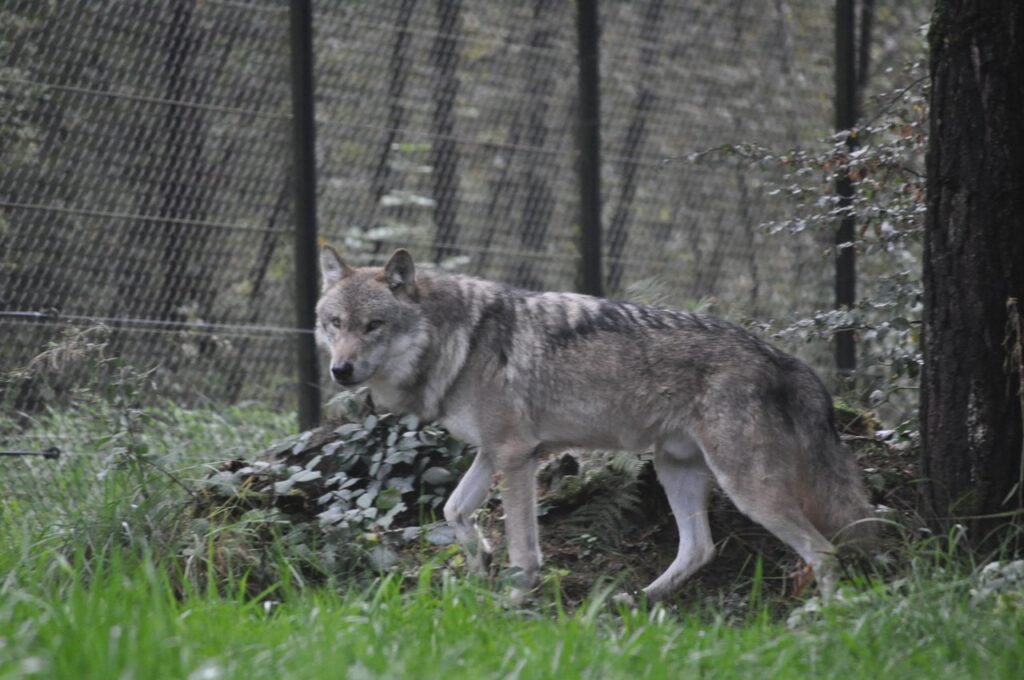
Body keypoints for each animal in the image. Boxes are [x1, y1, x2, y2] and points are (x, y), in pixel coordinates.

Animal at [315, 244, 876, 602]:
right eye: (335, 323)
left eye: (374, 325)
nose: (339, 370)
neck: (461, 340)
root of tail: (781, 356)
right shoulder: (494, 453)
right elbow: (454, 511)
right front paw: (480, 563)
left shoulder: (516, 456)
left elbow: (525, 550)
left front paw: (512, 601)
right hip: (676, 471)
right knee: (699, 549)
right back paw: (636, 602)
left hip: (747, 488)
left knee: (825, 552)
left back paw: (820, 623)